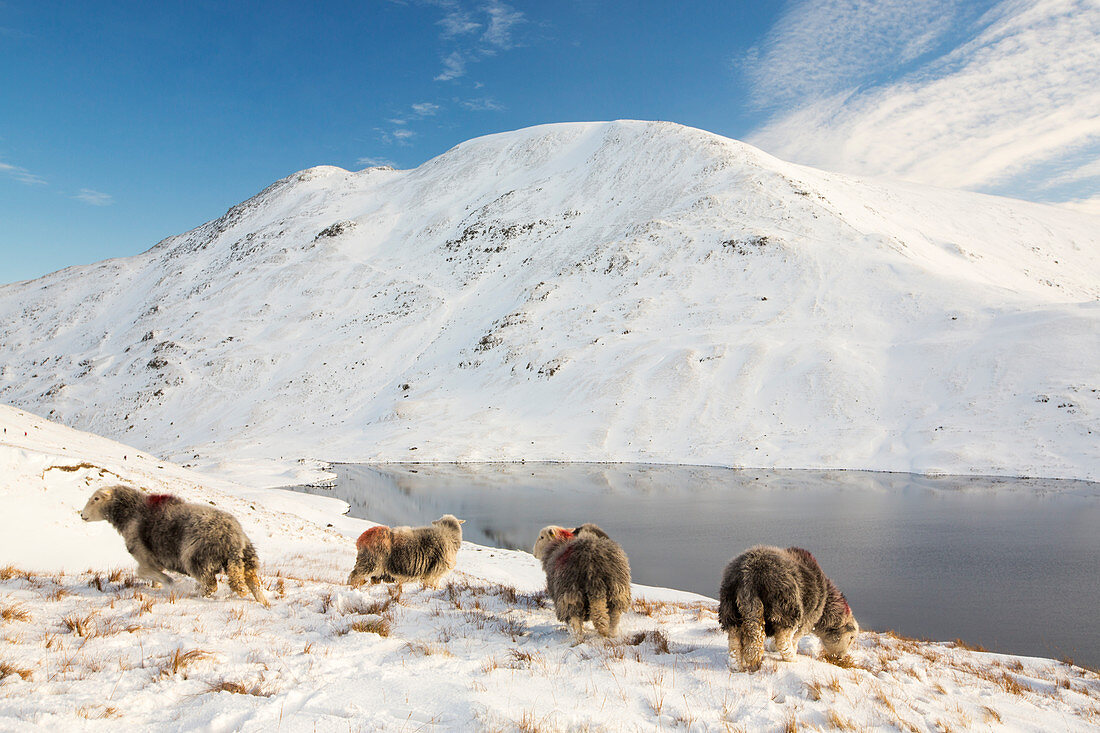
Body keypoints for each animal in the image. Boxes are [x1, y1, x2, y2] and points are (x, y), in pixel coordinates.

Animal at [79, 484, 268, 603]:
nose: (82, 515)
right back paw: (264, 602)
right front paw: (157, 585)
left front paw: (169, 584)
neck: (131, 513)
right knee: (254, 583)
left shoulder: (144, 557)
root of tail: (233, 538)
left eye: (96, 498)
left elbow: (144, 572)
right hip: (248, 559)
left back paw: (195, 593)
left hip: (198, 559)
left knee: (211, 586)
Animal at [717, 541, 862, 669]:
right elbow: (795, 639)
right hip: (787, 608)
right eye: (851, 637)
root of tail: (749, 574)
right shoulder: (806, 622)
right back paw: (792, 658)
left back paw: (736, 666)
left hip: (729, 608)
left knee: (734, 641)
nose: (841, 658)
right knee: (783, 639)